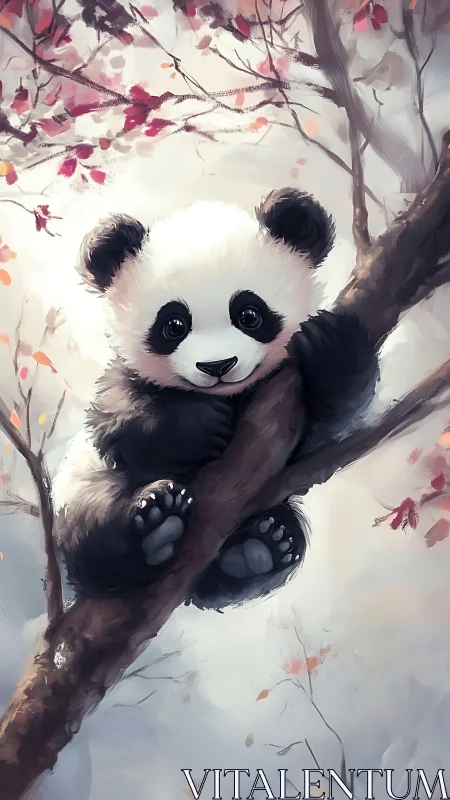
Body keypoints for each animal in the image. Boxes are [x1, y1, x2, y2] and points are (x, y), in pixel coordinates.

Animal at [53, 188, 378, 611]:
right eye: (173, 325)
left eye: (249, 314)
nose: (218, 366)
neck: (233, 395)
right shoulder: (125, 382)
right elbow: (119, 422)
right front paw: (201, 426)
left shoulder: (283, 398)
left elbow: (317, 442)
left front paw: (332, 348)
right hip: (81, 488)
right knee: (94, 525)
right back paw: (153, 526)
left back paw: (259, 549)